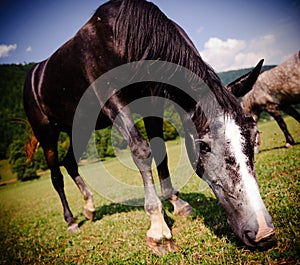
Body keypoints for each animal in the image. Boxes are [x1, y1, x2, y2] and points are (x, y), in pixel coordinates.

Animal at [24, 0, 276, 254]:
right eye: (203, 146)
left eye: (255, 136)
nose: (263, 232)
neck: (121, 36)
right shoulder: (112, 100)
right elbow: (141, 151)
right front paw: (159, 230)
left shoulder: (153, 101)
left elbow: (159, 150)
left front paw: (177, 203)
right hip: (47, 133)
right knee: (56, 176)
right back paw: (71, 222)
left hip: (80, 126)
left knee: (70, 162)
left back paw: (89, 207)